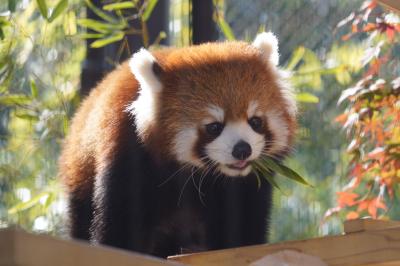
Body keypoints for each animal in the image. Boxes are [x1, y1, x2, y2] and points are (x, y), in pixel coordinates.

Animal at [60, 31, 296, 258]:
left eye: (255, 121)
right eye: (214, 127)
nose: (242, 150)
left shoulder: (245, 186)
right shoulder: (130, 161)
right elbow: (121, 225)